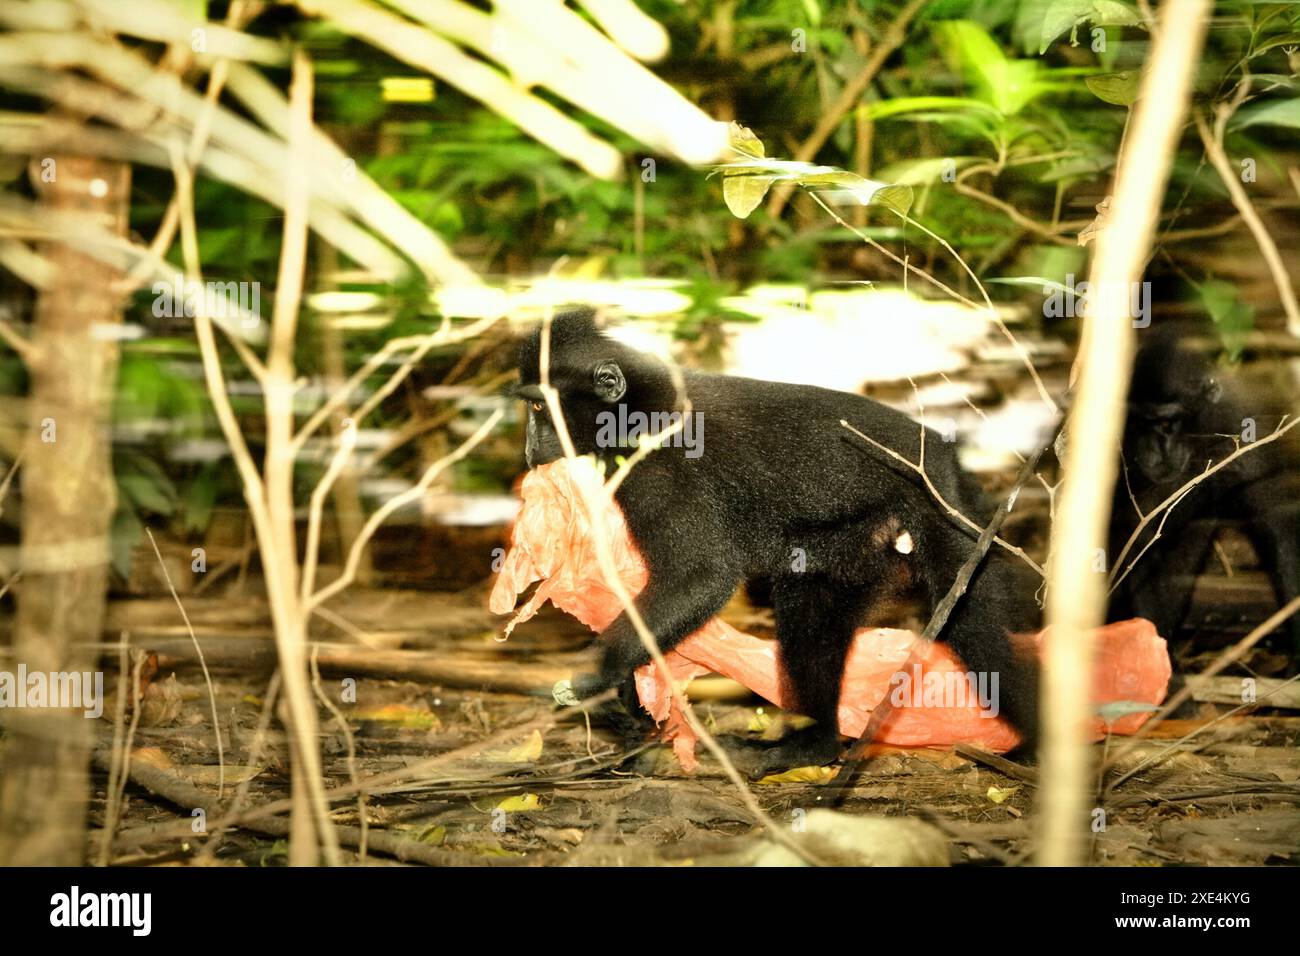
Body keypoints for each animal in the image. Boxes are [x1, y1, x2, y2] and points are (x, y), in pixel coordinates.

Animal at [514, 308, 1042, 774]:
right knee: (813, 609)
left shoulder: (660, 472)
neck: (643, 409)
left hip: (945, 515)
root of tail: (947, 459)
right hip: (856, 543)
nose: (529, 450)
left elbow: (703, 576)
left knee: (974, 629)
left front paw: (602, 676)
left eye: (539, 406)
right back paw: (814, 745)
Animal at [1108, 327, 1300, 664]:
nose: (1152, 452)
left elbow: (1279, 522)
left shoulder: (1246, 435)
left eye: (1166, 423)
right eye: (1137, 423)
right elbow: (1137, 543)